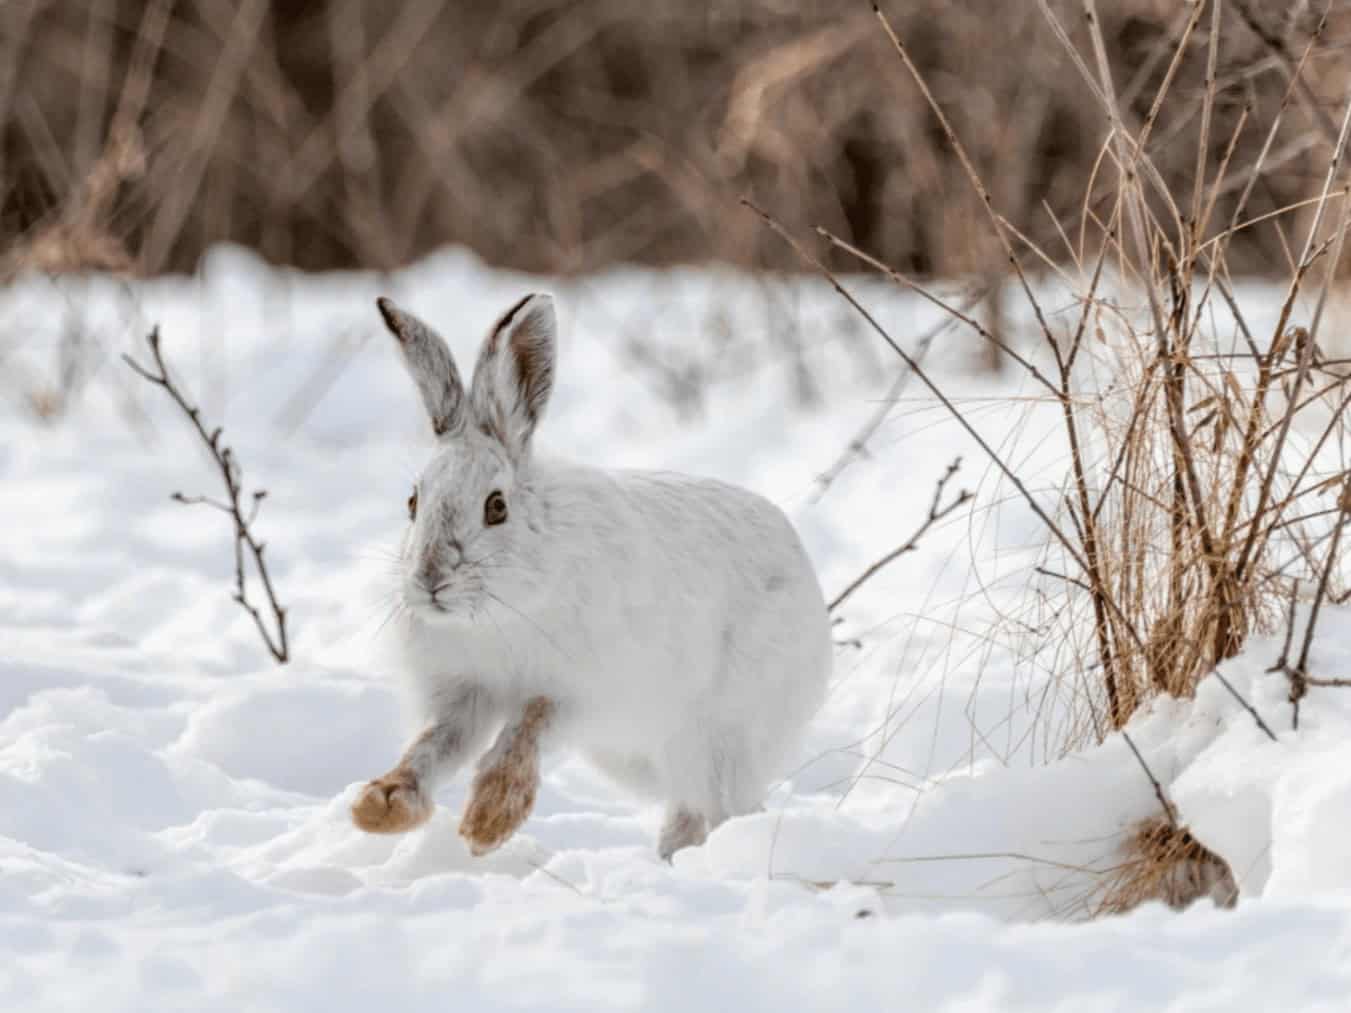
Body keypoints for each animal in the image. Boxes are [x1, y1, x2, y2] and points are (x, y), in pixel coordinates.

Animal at [350, 292, 833, 860]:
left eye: (496, 507)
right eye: (412, 502)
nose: (429, 579)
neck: (497, 610)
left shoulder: (578, 691)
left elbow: (527, 727)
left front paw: (488, 820)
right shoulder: (464, 696)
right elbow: (432, 746)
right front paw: (380, 805)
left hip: (722, 735)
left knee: (725, 806)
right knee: (691, 811)